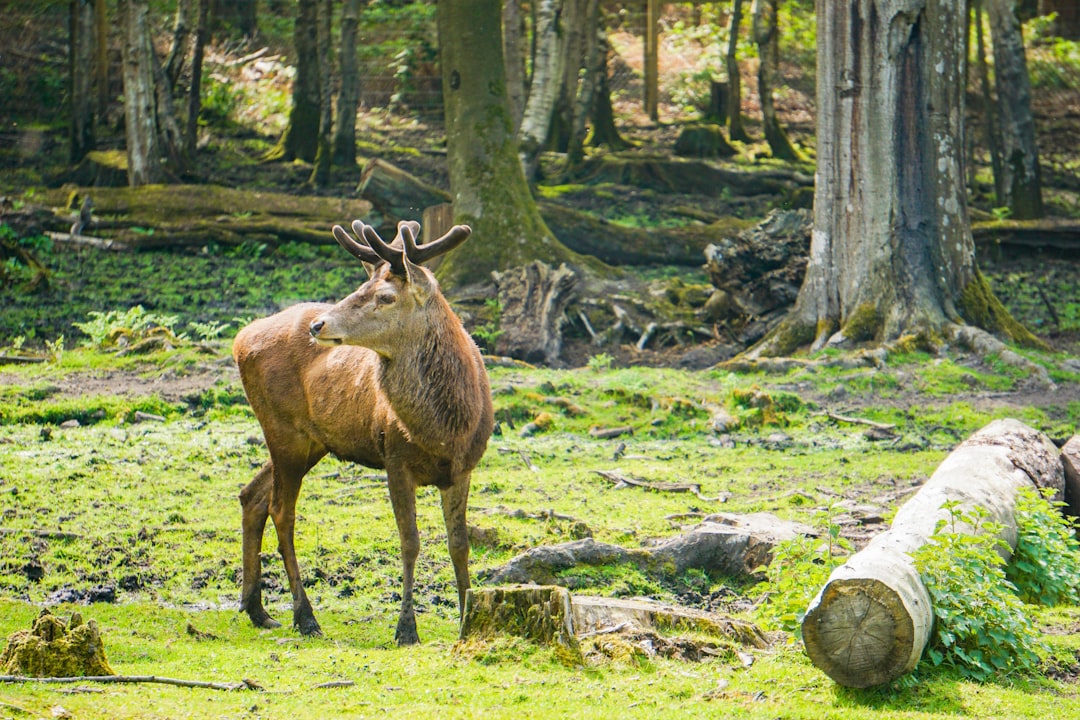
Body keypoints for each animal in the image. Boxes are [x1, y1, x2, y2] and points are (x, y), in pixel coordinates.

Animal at [234, 218, 494, 643]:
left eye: (386, 296)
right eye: (361, 286)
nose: (318, 324)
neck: (446, 430)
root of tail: (240, 338)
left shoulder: (464, 467)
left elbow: (460, 544)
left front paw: (465, 618)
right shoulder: (395, 459)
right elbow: (410, 542)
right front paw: (406, 629)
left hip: (311, 441)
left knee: (251, 496)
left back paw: (256, 608)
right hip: (283, 430)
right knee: (281, 511)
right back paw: (305, 616)